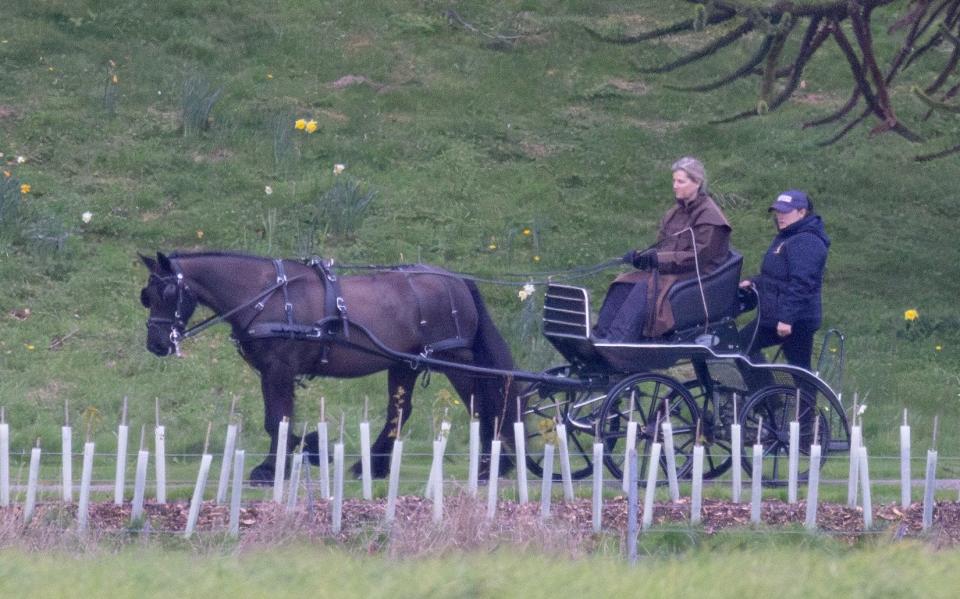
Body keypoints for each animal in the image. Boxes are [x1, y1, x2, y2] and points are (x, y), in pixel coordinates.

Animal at [137, 250, 516, 482]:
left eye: (168, 293)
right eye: (146, 296)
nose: (156, 344)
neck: (266, 296)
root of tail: (456, 280)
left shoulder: (278, 369)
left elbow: (276, 419)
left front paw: (271, 468)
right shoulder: (274, 372)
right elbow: (280, 419)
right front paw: (305, 448)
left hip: (454, 359)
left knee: (481, 405)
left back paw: (490, 466)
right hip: (405, 363)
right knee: (400, 412)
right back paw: (372, 466)